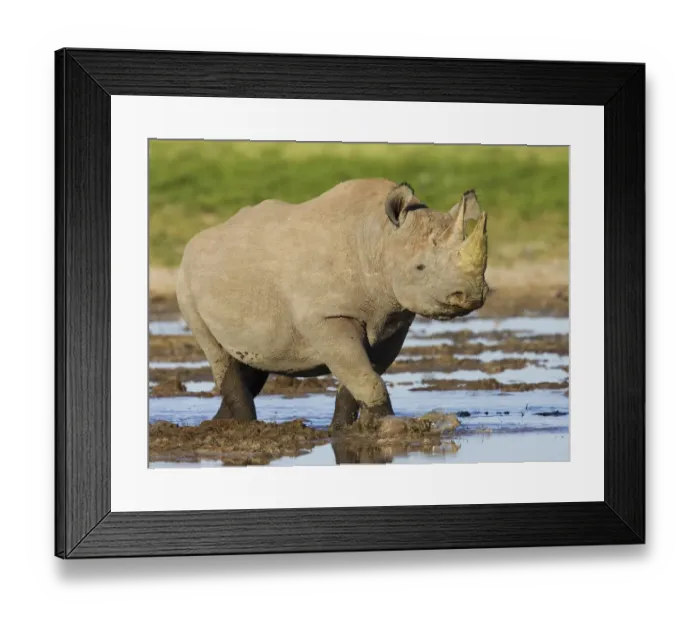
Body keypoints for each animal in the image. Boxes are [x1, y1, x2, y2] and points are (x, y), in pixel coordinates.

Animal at [176, 178, 489, 428]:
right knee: (217, 351)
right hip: (186, 281)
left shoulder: (393, 321)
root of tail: (196, 240)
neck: (380, 239)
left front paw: (345, 428)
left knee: (252, 358)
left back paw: (217, 424)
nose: (470, 295)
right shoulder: (327, 317)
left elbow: (362, 374)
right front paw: (388, 426)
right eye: (420, 267)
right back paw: (246, 427)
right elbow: (363, 375)